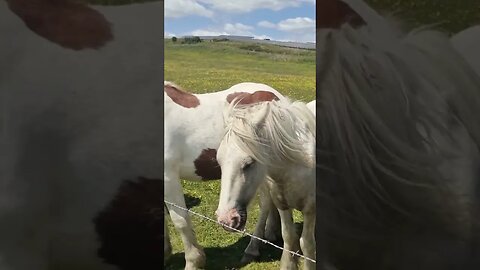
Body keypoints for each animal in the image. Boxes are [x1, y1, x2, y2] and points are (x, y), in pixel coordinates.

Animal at [165, 81, 284, 268]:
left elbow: (180, 221)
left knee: (265, 204)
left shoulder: (168, 177)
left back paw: (252, 249)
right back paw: (272, 233)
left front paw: (193, 262)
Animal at [217, 97, 316, 270]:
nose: (226, 220)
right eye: (219, 161)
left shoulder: (310, 208)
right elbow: (289, 236)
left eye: (249, 163)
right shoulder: (282, 203)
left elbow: (307, 244)